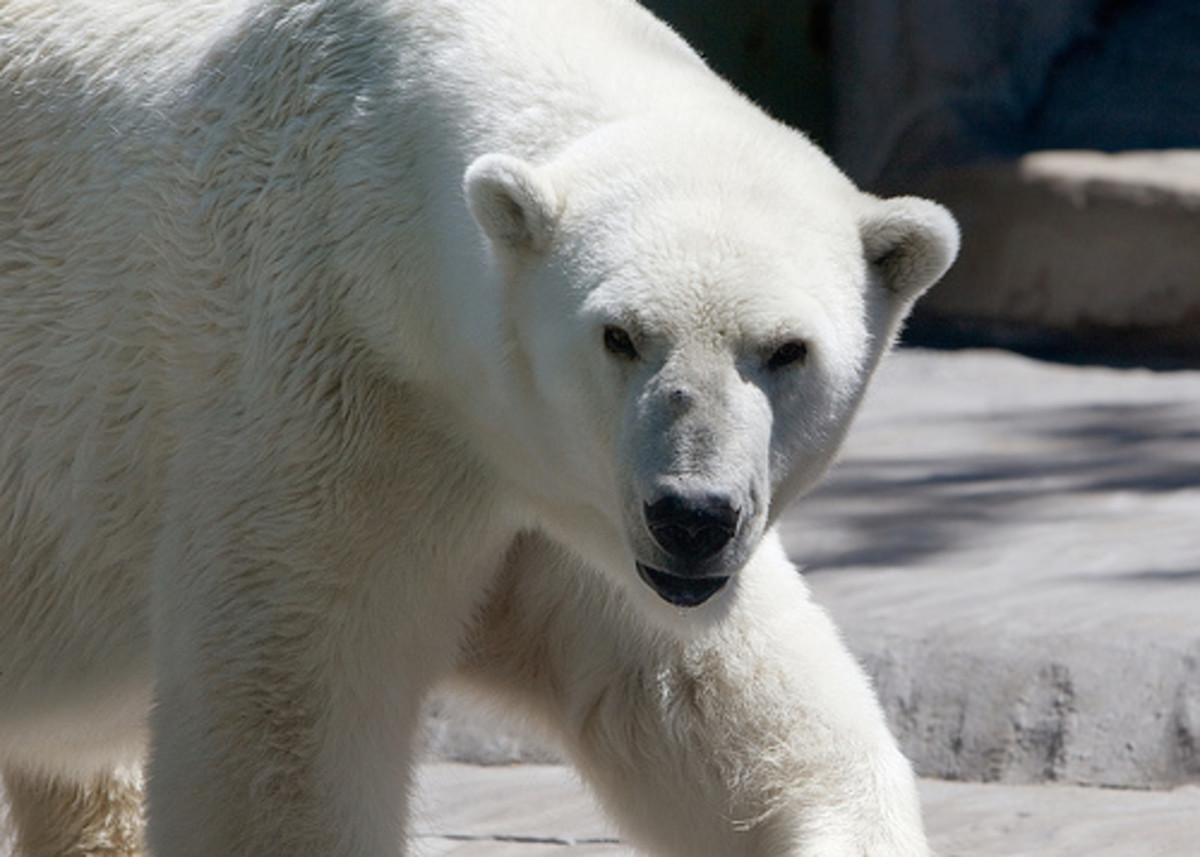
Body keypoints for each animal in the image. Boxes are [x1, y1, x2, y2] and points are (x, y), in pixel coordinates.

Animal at [0, 0, 959, 855]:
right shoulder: (334, 402)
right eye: (620, 335)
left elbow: (726, 714)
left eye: (788, 350)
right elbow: (282, 731)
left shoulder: (563, 492)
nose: (693, 516)